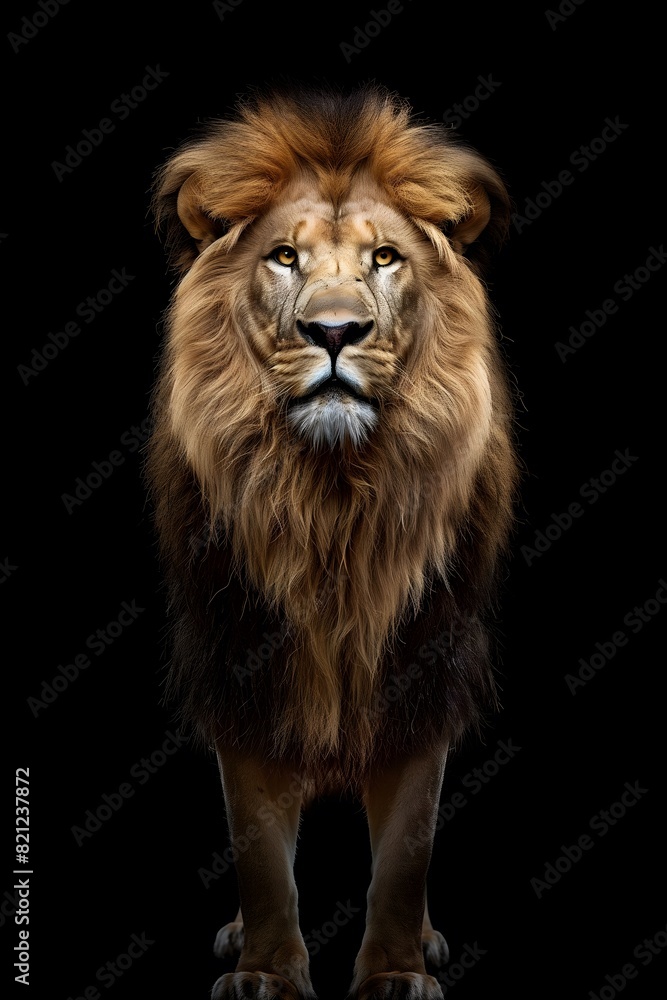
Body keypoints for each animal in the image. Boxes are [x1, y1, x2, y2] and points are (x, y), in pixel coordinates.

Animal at [147, 85, 517, 1000]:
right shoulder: (243, 661)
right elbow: (258, 852)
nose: (336, 332)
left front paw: (393, 971)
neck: (332, 502)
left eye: (385, 258)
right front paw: (265, 973)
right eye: (284, 257)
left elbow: (407, 847)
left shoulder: (422, 660)